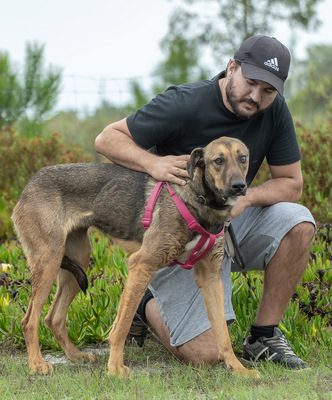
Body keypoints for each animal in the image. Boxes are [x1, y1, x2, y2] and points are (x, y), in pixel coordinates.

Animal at [11, 137, 258, 378]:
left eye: (243, 158)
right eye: (218, 160)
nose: (239, 186)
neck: (200, 198)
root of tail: (30, 183)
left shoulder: (210, 277)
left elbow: (223, 333)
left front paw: (238, 369)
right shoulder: (142, 264)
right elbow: (121, 325)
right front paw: (115, 368)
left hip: (77, 260)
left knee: (53, 317)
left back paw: (75, 355)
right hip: (49, 261)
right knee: (28, 321)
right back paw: (36, 364)